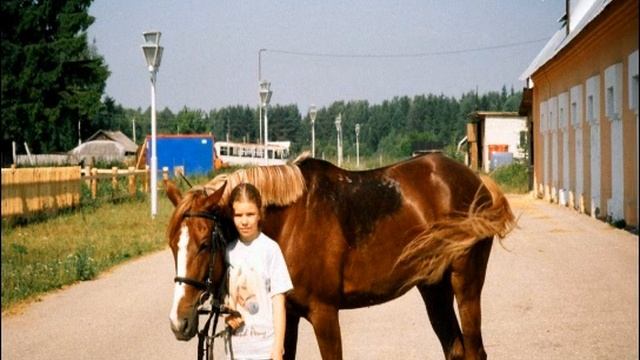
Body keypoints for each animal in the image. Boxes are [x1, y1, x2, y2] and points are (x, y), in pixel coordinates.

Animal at [166, 153, 516, 358]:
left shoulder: (324, 313)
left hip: (465, 284)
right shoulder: (288, 314)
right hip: (434, 288)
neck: (292, 223)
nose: (179, 322)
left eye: (204, 243)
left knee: (475, 351)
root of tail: (477, 181)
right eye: (172, 246)